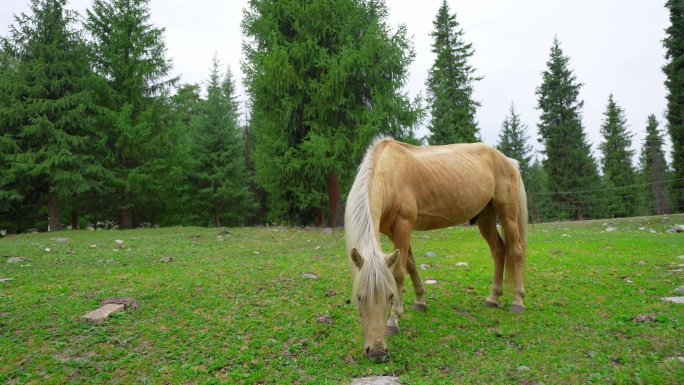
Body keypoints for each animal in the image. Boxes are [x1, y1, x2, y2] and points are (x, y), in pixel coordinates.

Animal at [342, 136, 528, 362]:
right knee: (499, 250)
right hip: (486, 217)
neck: (389, 174)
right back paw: (492, 298)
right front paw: (420, 301)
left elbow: (399, 272)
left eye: (390, 296)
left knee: (516, 251)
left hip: (508, 215)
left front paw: (394, 320)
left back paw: (517, 302)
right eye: (359, 297)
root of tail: (508, 161)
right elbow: (410, 264)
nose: (377, 352)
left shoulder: (403, 226)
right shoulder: (395, 232)